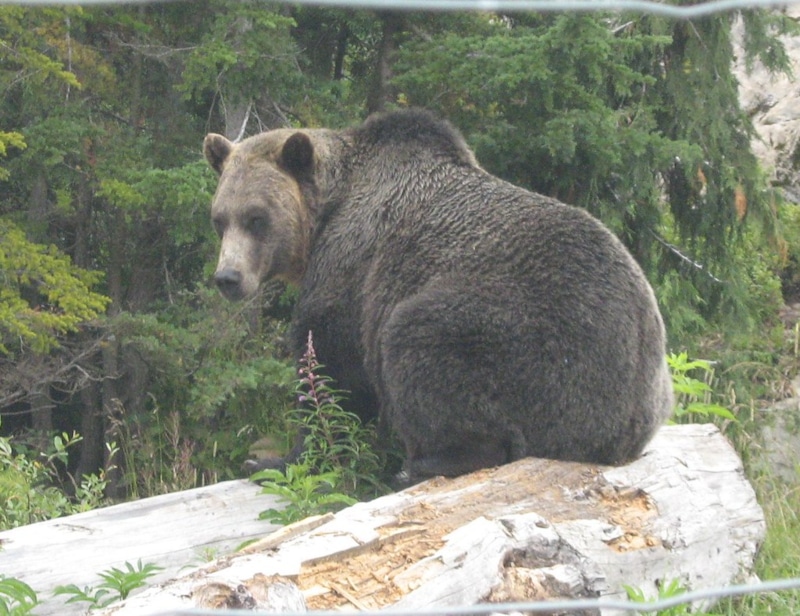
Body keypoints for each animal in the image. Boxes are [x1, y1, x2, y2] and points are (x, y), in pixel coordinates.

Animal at [203, 109, 672, 486]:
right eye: (220, 219)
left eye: (257, 218)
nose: (228, 277)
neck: (327, 212)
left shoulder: (354, 268)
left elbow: (330, 362)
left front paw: (274, 460)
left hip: (535, 345)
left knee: (419, 341)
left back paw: (424, 463)